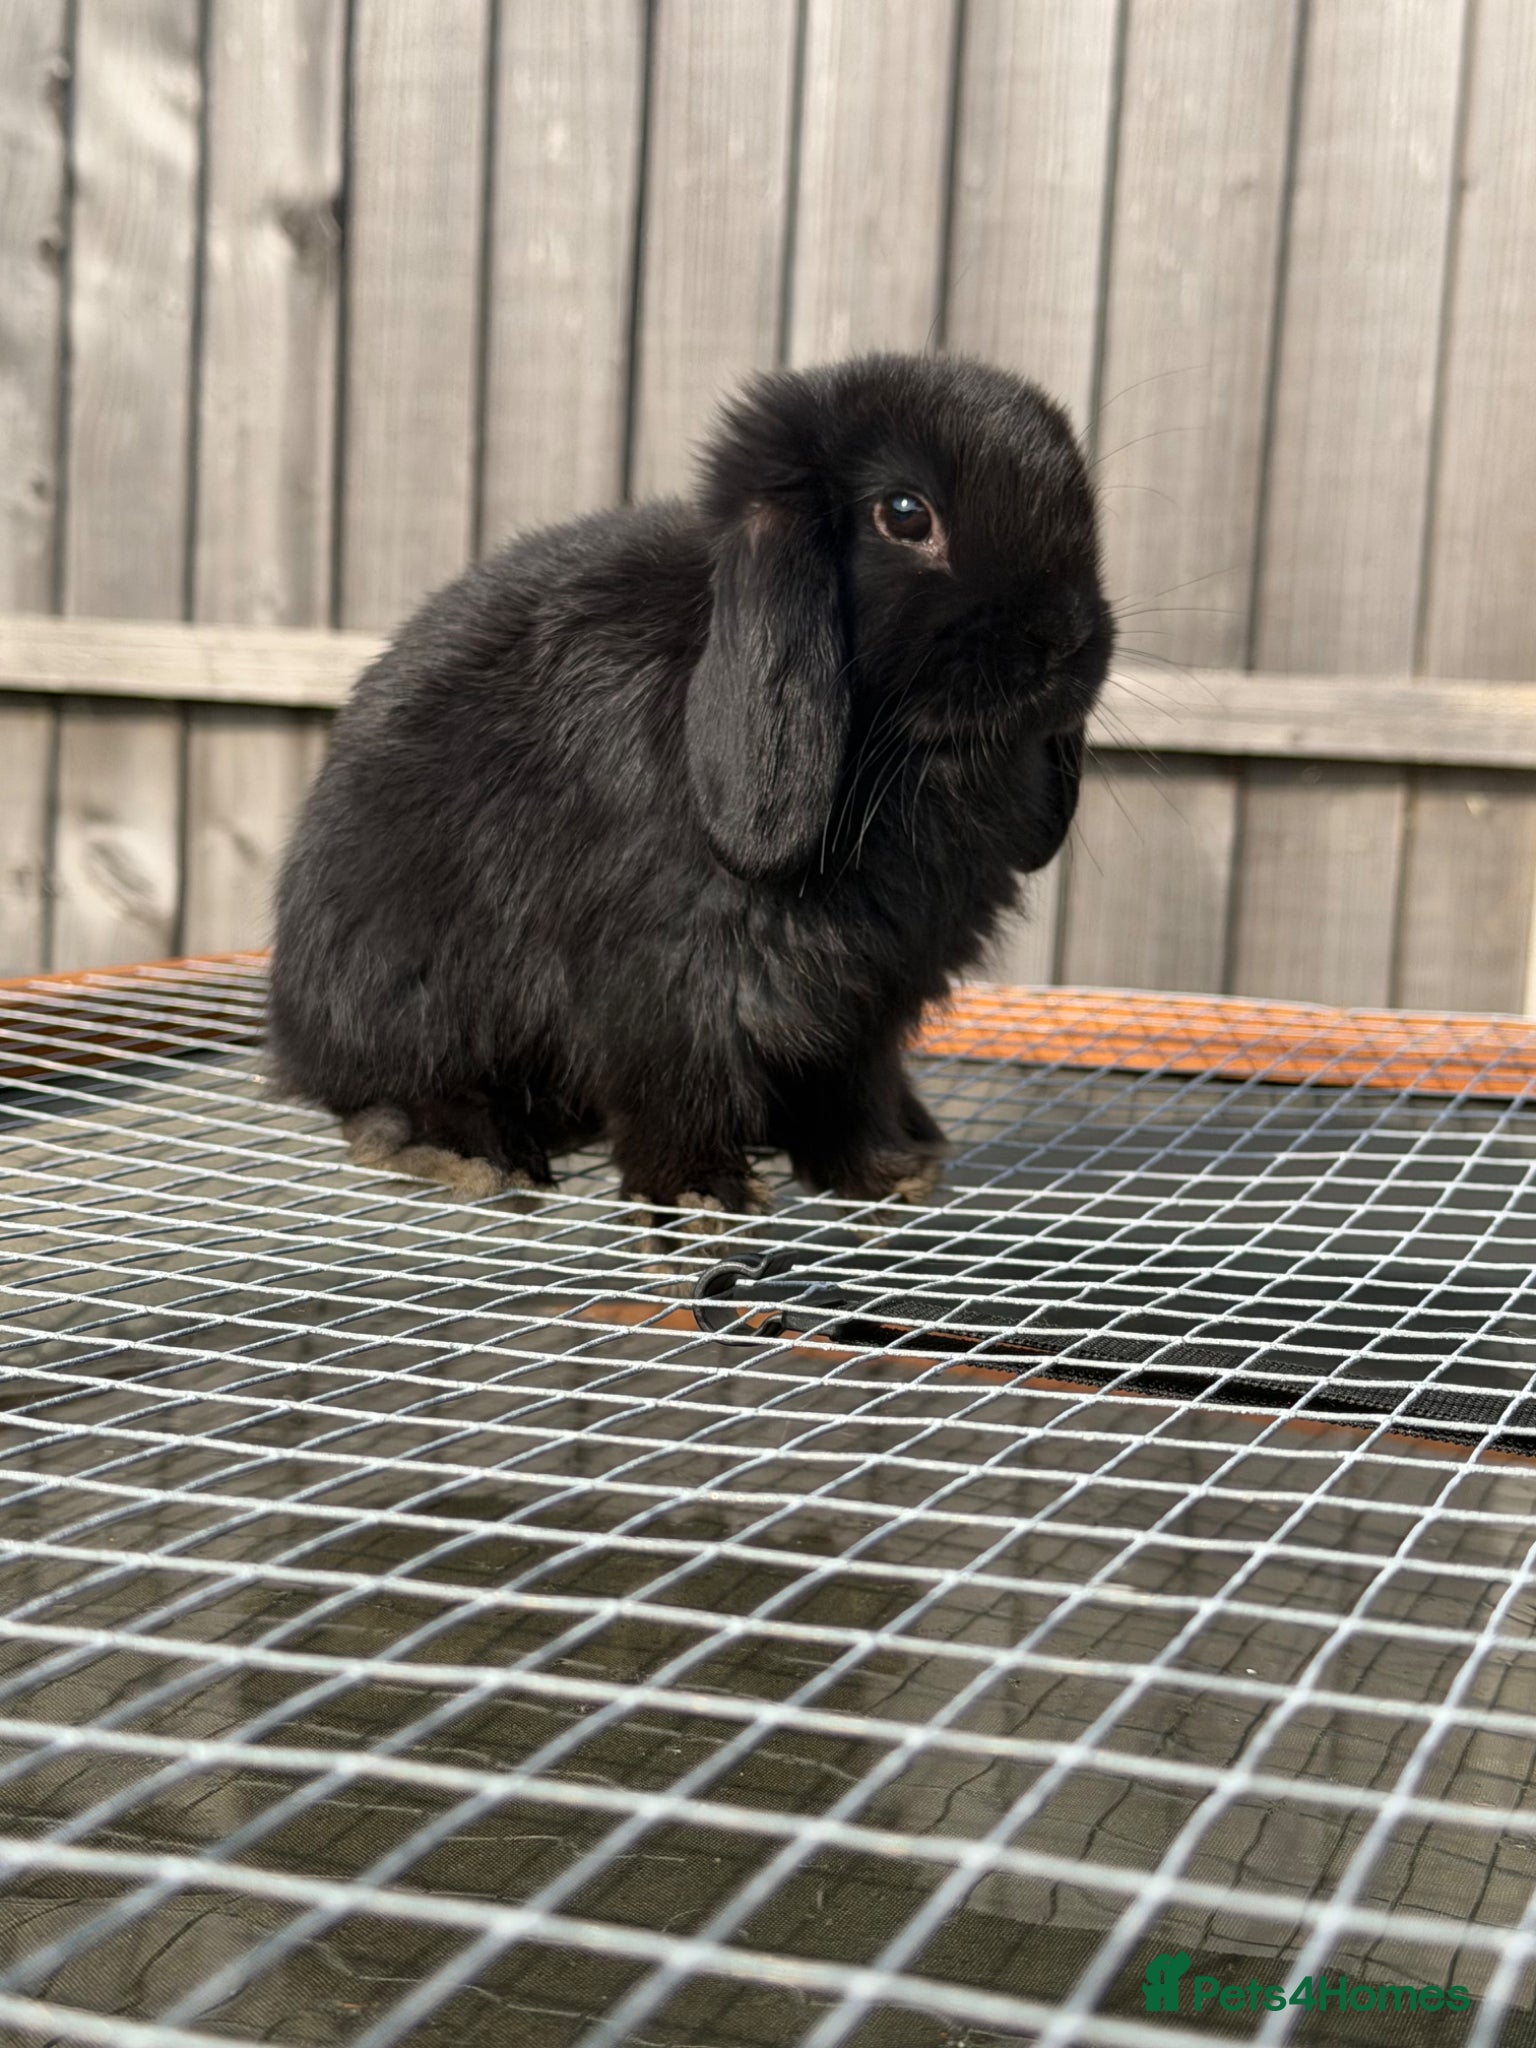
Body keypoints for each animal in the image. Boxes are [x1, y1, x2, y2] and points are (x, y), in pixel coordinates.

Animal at [267, 351, 1112, 1213]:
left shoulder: (869, 1002)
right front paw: (703, 1197)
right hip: (410, 991)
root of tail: (291, 1018)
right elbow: (676, 1086)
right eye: (906, 515)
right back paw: (466, 1150)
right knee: (389, 1085)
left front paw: (886, 1173)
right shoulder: (667, 981)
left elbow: (851, 1090)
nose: (1065, 638)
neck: (907, 758)